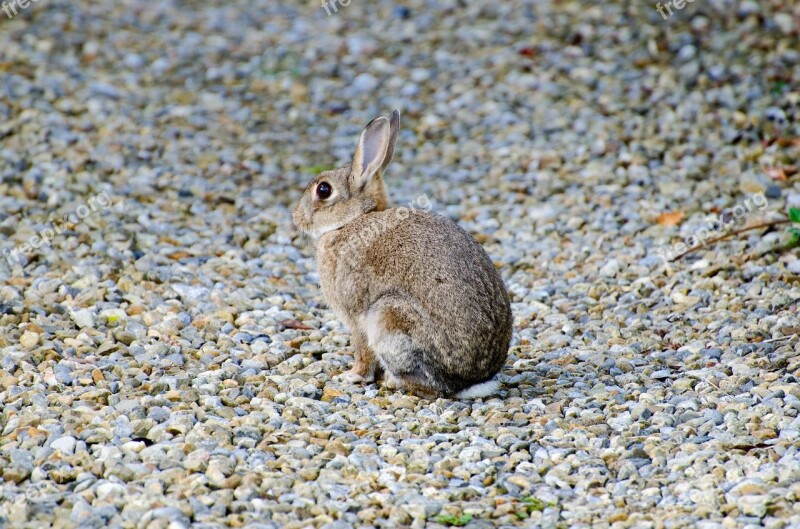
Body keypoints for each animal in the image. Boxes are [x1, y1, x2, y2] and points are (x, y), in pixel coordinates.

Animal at [294, 108, 512, 396]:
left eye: (323, 190)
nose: (296, 218)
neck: (352, 220)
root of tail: (470, 382)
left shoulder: (356, 316)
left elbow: (362, 351)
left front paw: (352, 376)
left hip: (388, 316)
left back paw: (392, 381)